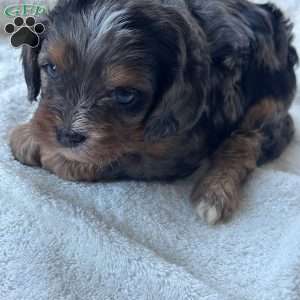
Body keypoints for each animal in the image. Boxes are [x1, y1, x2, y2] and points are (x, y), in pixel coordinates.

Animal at [9, 0, 298, 224]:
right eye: (52, 68)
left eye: (125, 95)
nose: (67, 136)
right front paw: (30, 134)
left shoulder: (181, 147)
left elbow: (117, 157)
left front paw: (52, 155)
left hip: (266, 103)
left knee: (248, 141)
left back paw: (214, 194)